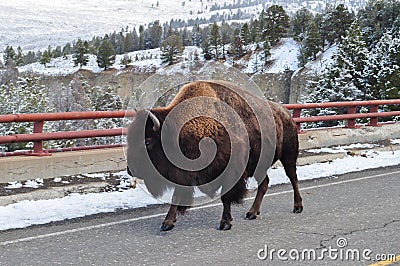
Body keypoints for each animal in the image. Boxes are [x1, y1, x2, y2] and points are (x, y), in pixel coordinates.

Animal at [128, 79, 304, 231]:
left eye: (147, 141)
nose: (131, 170)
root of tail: (285, 114)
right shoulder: (184, 173)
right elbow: (175, 198)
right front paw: (167, 223)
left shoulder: (230, 172)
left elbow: (225, 197)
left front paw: (225, 223)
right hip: (258, 166)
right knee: (264, 183)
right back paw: (252, 213)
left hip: (288, 156)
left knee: (293, 178)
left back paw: (297, 207)